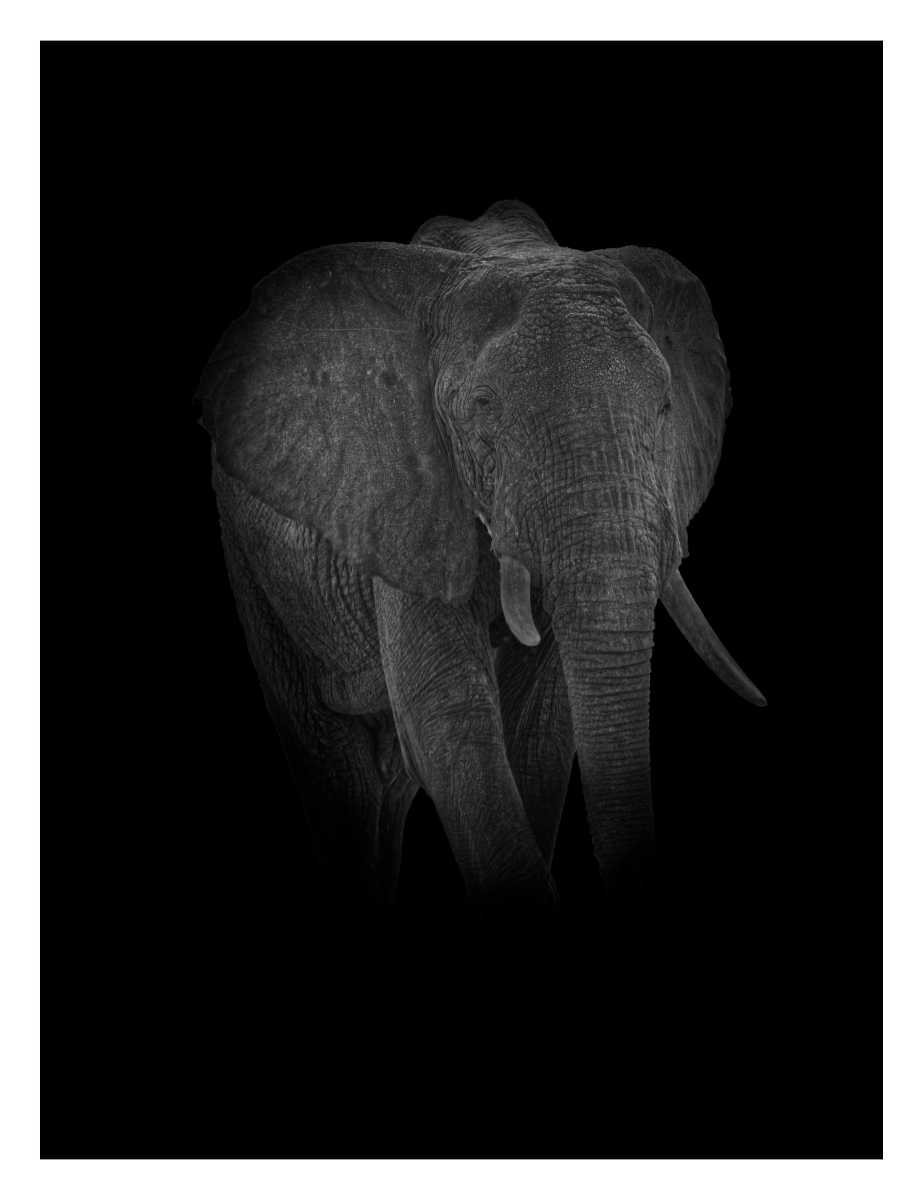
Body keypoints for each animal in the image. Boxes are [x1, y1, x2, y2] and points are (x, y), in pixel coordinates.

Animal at [195, 199, 765, 922]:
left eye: (664, 406)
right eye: (482, 409)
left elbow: (539, 730)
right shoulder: (403, 488)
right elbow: (448, 714)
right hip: (252, 558)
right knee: (333, 765)